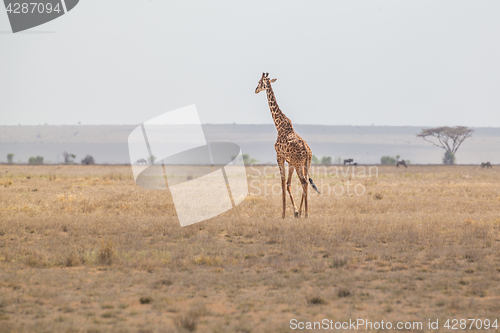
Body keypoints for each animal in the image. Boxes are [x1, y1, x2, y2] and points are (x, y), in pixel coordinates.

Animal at [254, 72, 320, 218]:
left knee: (304, 182)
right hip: (305, 164)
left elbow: (282, 183)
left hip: (298, 164)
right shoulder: (290, 162)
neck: (278, 125)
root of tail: (308, 152)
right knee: (305, 183)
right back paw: (303, 212)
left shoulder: (279, 156)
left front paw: (283, 214)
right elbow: (288, 184)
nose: (255, 90)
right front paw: (294, 212)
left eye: (259, 82)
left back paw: (305, 213)